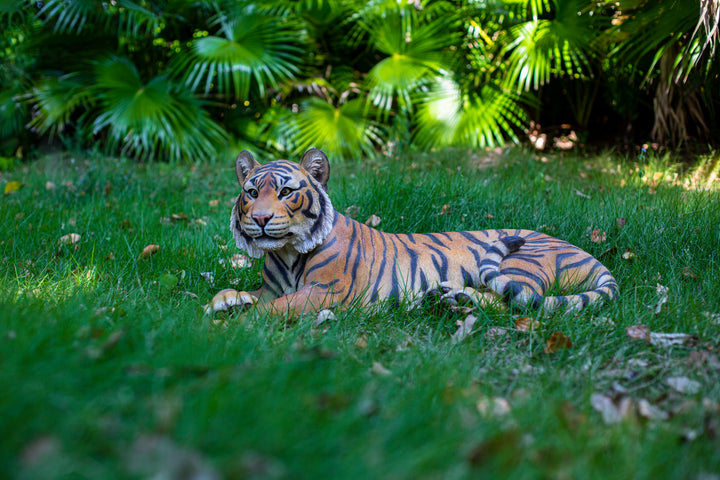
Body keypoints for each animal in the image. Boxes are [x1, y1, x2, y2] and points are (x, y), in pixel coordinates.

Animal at [206, 149, 618, 317]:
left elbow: (273, 309)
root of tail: (582, 250)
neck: (287, 252)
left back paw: (454, 299)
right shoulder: (272, 288)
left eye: (287, 192)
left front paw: (234, 325)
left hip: (523, 261)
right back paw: (447, 298)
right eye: (252, 193)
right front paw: (221, 302)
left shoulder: (324, 292)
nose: (260, 219)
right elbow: (238, 293)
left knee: (514, 299)